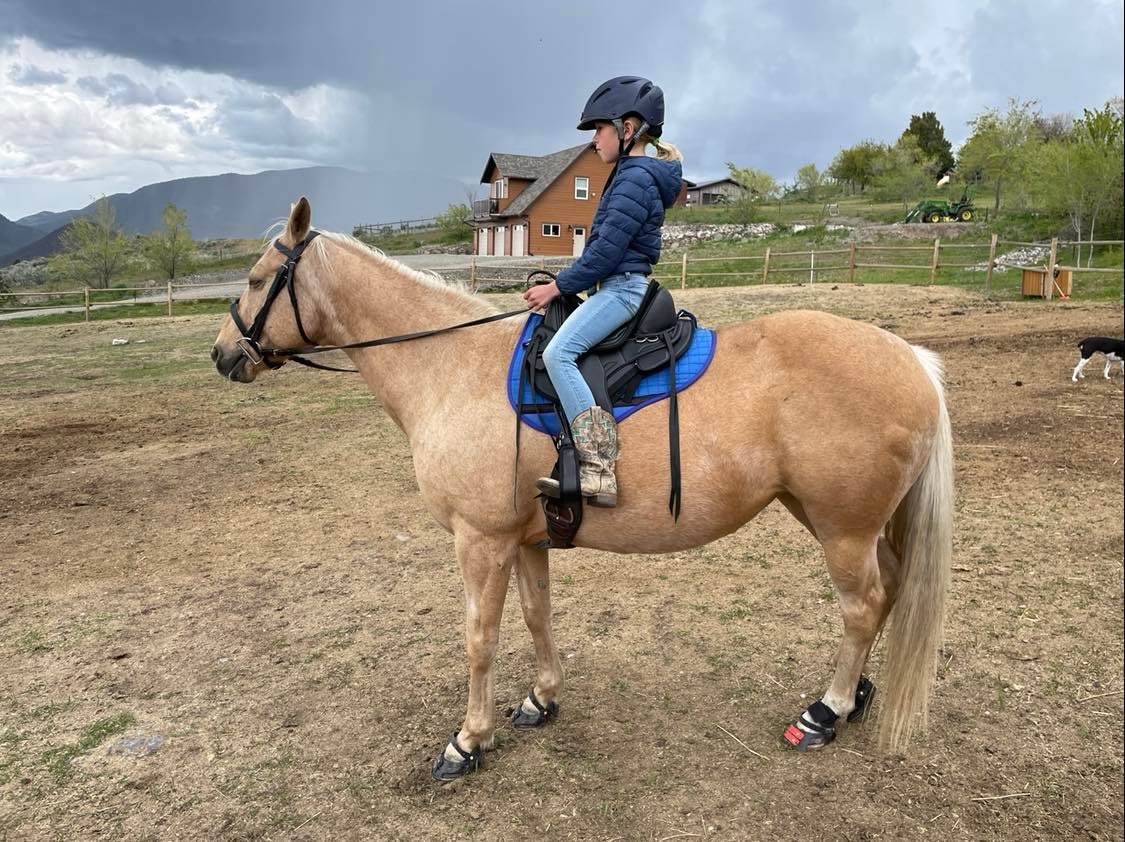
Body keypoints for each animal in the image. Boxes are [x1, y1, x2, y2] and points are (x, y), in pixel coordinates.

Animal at [211, 198, 953, 780]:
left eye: (255, 279)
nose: (222, 353)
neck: (452, 365)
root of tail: (909, 357)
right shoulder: (526, 538)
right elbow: (538, 616)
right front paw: (540, 699)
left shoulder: (480, 542)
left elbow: (479, 636)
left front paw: (467, 740)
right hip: (840, 522)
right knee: (887, 591)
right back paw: (858, 696)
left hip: (842, 531)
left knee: (862, 607)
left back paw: (825, 711)